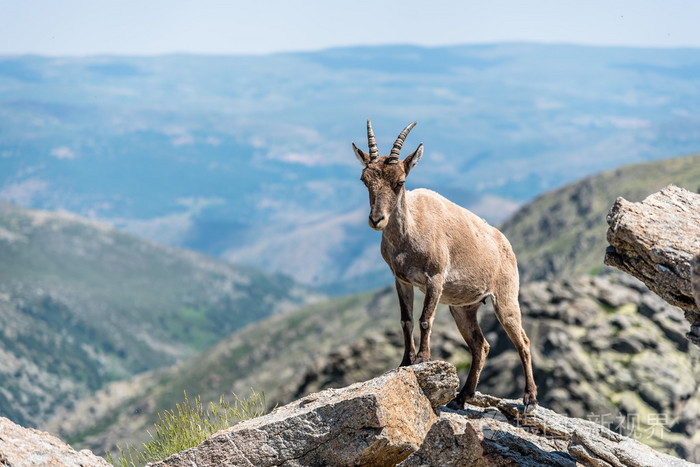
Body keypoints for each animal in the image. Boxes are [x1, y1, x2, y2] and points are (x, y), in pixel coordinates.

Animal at [352, 121, 540, 414]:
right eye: (365, 180)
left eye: (400, 182)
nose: (376, 220)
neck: (410, 233)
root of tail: (505, 244)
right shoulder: (401, 280)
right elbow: (406, 320)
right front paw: (405, 361)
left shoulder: (435, 278)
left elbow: (425, 319)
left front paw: (422, 358)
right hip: (463, 308)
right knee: (481, 346)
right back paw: (463, 396)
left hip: (505, 298)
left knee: (523, 341)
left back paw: (529, 400)